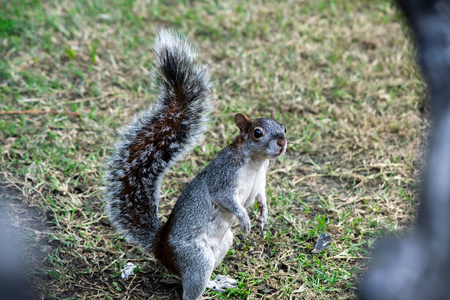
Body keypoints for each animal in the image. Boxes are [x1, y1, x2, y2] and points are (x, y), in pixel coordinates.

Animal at [103, 28, 286, 300]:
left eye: (283, 127)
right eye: (257, 133)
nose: (282, 143)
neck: (256, 163)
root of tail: (160, 248)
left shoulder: (260, 182)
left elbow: (261, 198)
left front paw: (263, 217)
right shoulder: (224, 176)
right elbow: (226, 198)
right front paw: (245, 219)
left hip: (223, 244)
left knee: (185, 278)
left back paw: (216, 283)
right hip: (197, 258)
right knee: (189, 288)